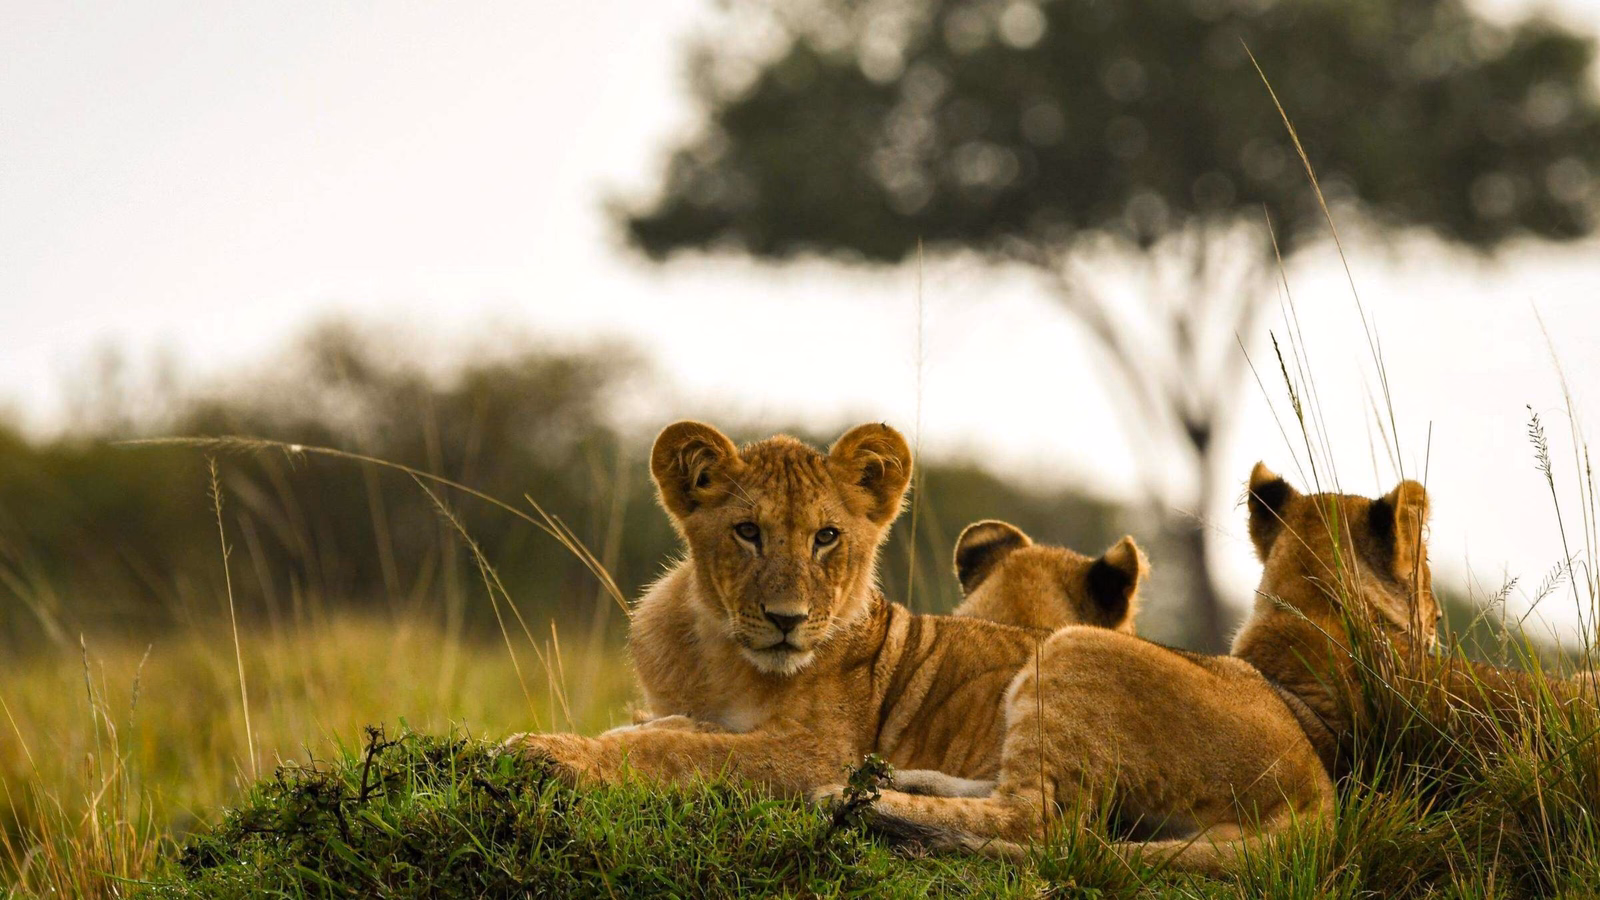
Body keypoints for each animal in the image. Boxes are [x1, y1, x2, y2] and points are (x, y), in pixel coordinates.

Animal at [507, 422, 1331, 875]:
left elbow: (679, 752)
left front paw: (547, 753)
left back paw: (859, 801)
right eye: (747, 532)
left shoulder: (812, 747)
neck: (719, 649)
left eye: (826, 536)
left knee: (1044, 822)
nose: (786, 619)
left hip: (1071, 652)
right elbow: (665, 732)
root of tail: (1318, 779)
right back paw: (892, 784)